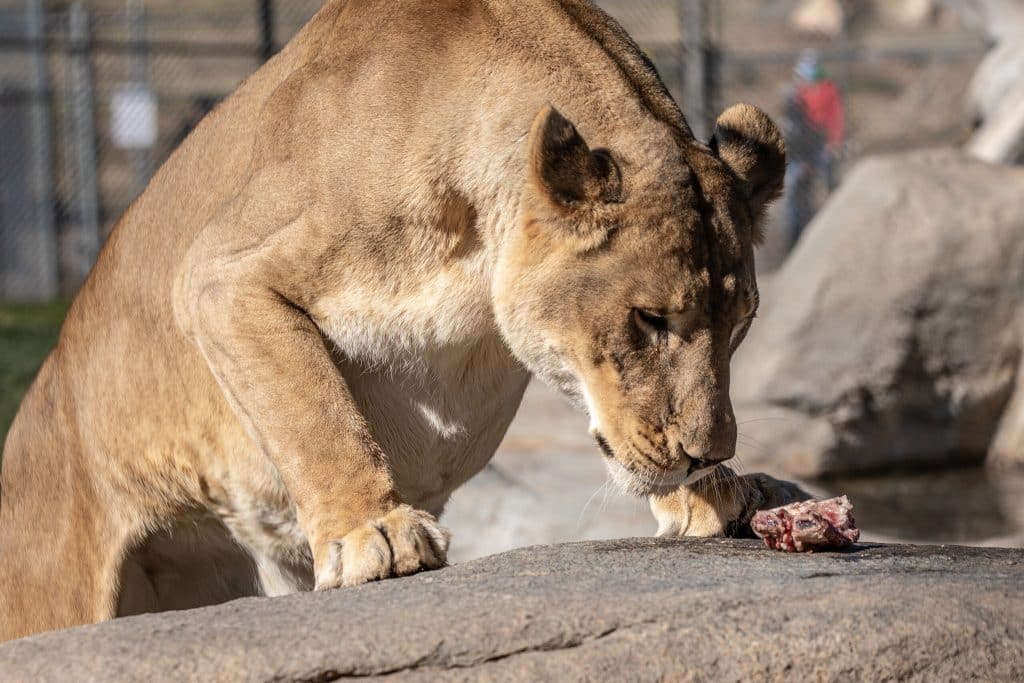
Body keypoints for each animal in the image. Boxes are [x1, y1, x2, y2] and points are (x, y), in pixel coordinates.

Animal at [0, 0, 805, 642]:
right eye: (649, 318)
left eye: (740, 325)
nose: (705, 454)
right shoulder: (220, 274)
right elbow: (317, 410)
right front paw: (374, 531)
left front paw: (719, 490)